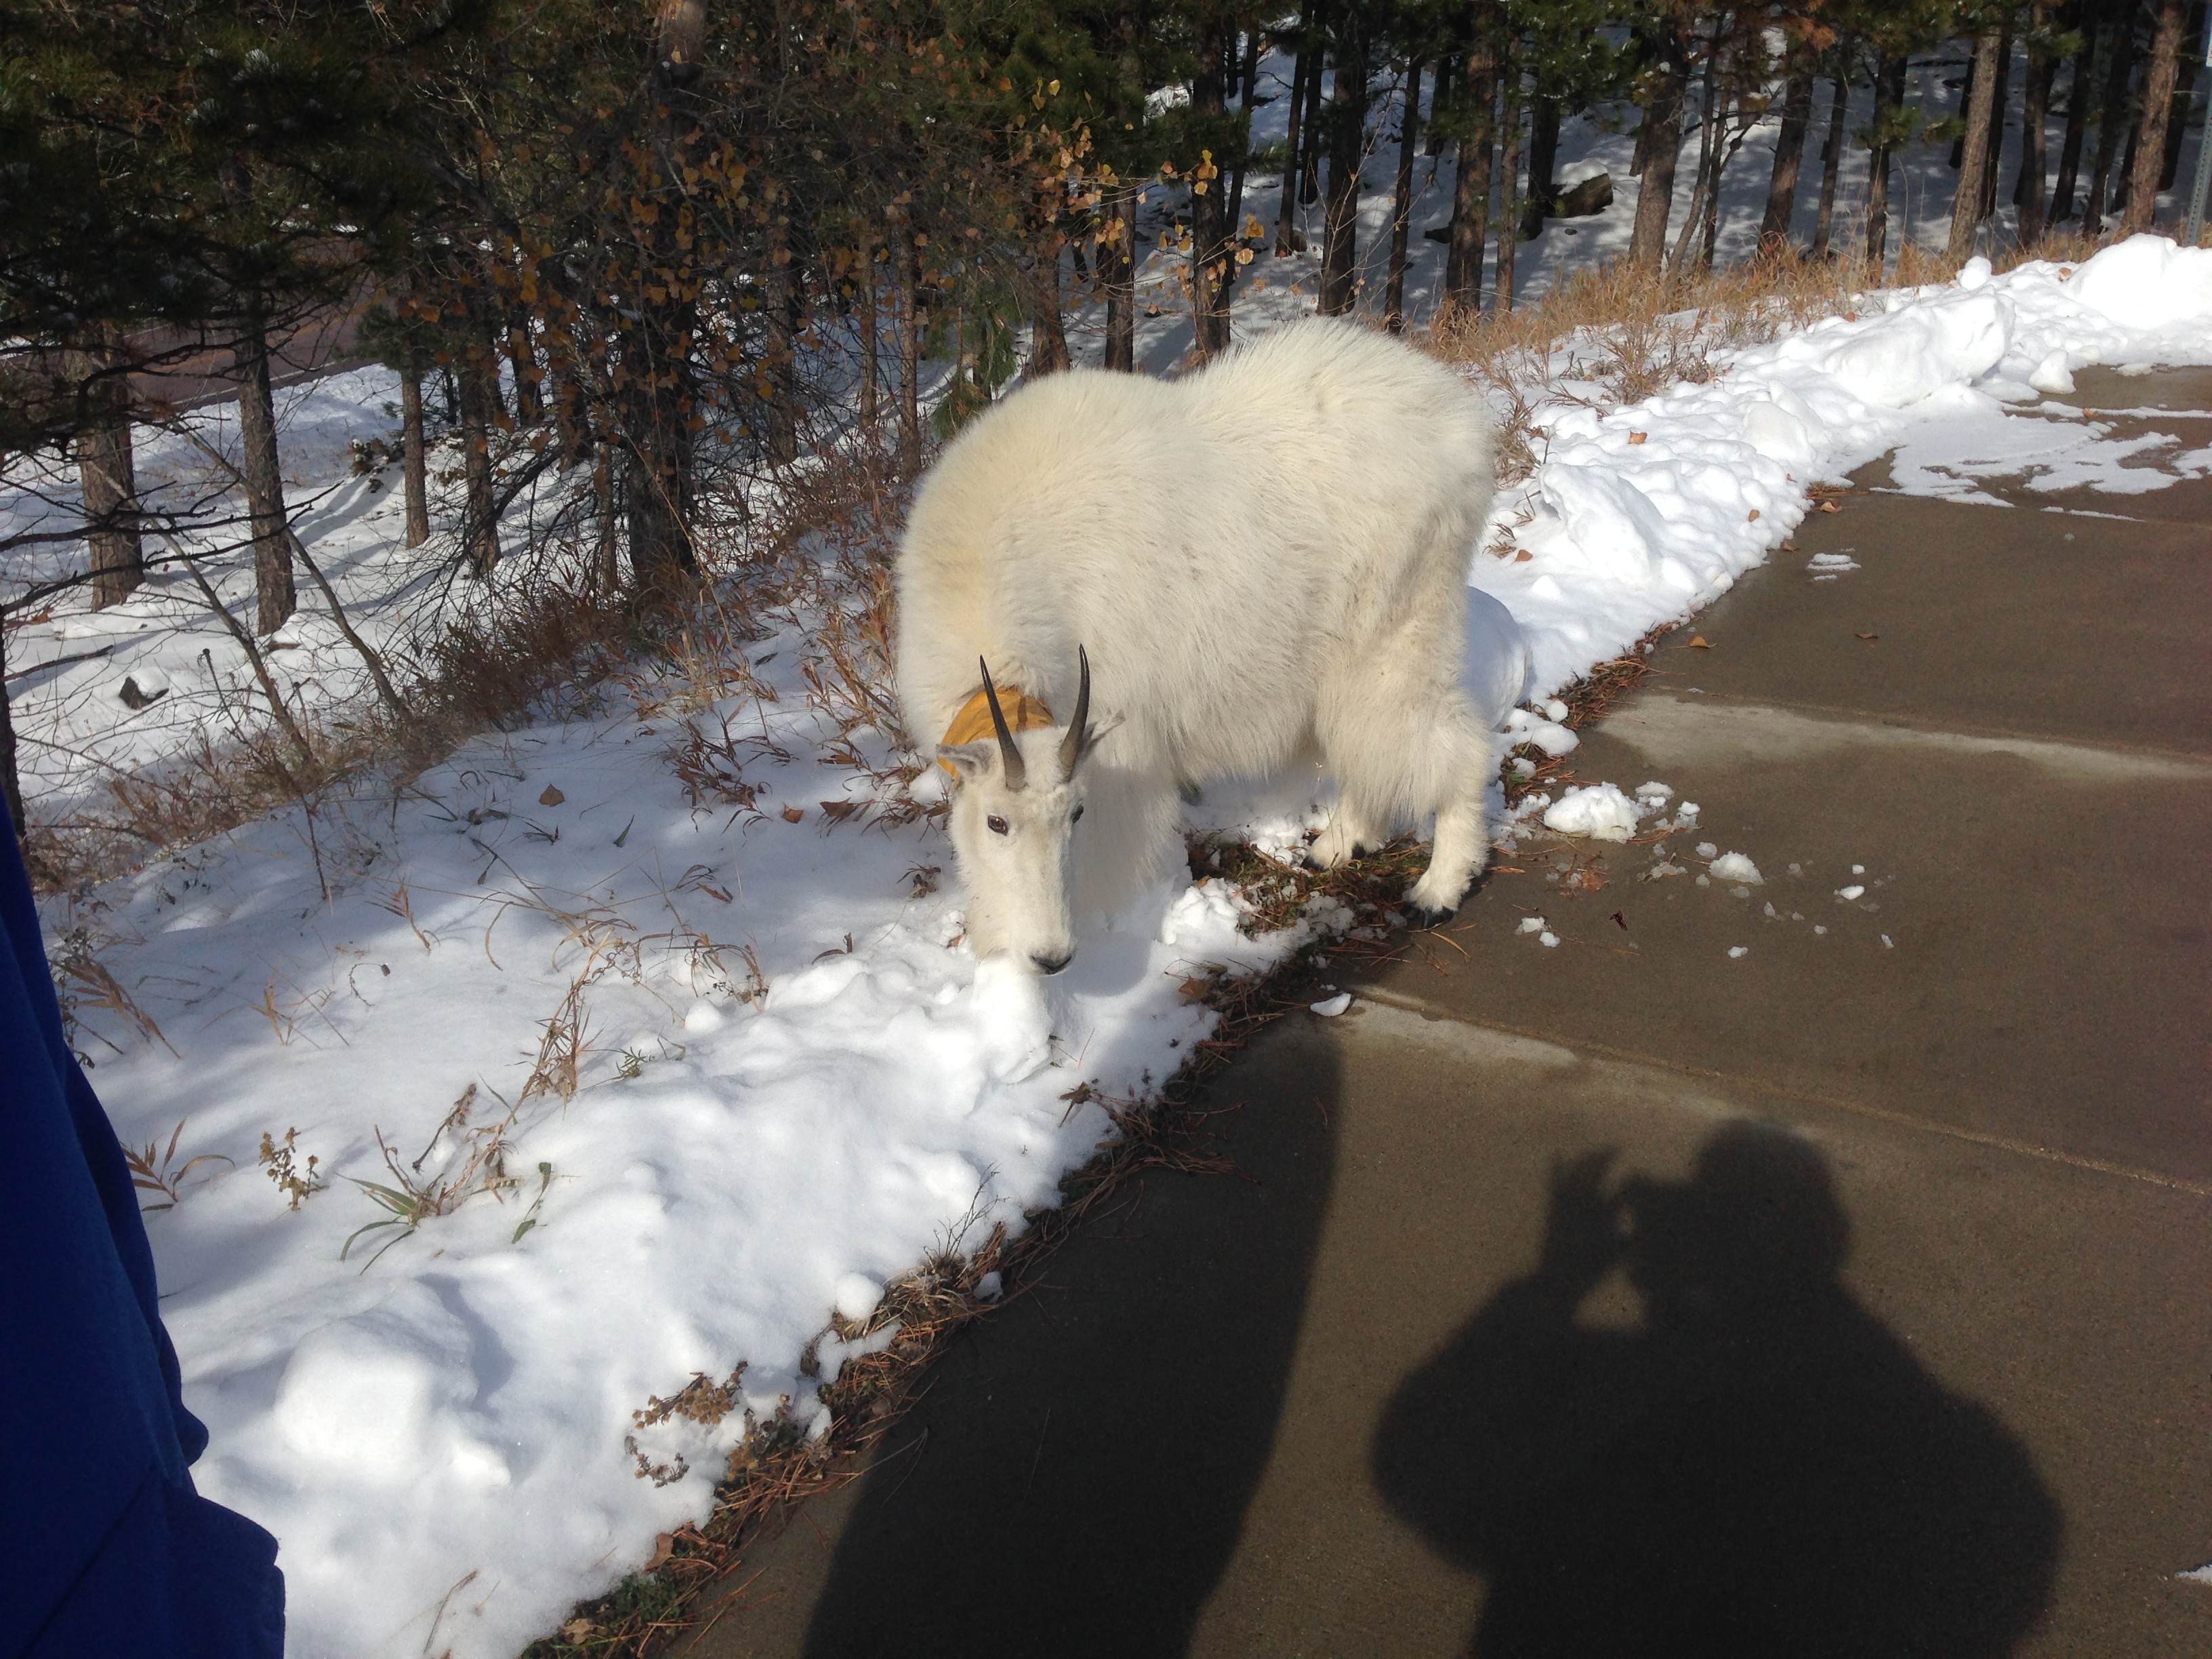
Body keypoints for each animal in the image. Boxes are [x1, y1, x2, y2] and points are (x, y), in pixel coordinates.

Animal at [897, 317, 1498, 974]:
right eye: (996, 822)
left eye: (1076, 814)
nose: (1049, 955)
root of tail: (1461, 427)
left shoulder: (1115, 749)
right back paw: (1338, 846)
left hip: (1394, 642)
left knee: (1455, 751)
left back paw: (1438, 889)